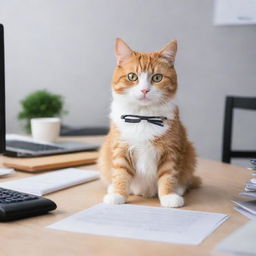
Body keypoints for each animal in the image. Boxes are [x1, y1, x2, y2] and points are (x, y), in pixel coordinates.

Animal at [99, 38, 201, 207]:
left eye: (157, 78)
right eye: (132, 76)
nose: (144, 90)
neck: (143, 116)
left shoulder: (170, 151)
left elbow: (168, 175)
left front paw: (168, 196)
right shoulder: (120, 148)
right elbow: (120, 173)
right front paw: (118, 195)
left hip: (190, 152)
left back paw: (179, 189)